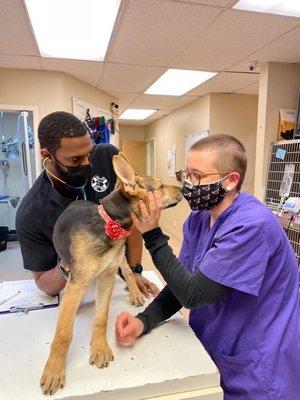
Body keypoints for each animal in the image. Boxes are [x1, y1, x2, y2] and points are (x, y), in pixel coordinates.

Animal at [39, 152, 180, 394]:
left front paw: (100, 348)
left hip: (120, 258)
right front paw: (54, 370)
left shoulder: (107, 278)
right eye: (160, 186)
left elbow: (101, 318)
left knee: (129, 272)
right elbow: (63, 333)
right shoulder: (77, 282)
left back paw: (135, 292)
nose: (183, 189)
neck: (111, 224)